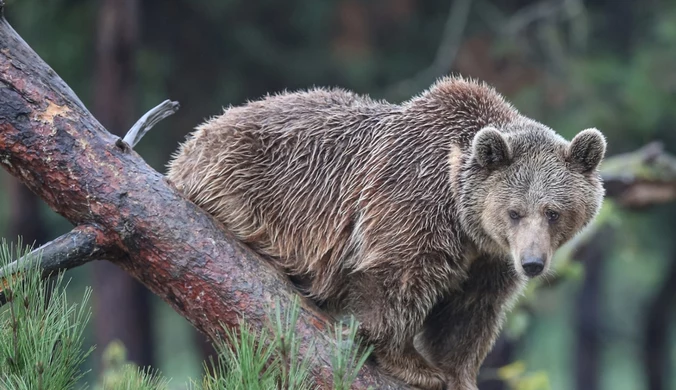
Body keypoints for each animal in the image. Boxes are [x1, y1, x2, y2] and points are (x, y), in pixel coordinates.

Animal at [165, 77, 608, 390]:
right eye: (514, 212)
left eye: (553, 212)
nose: (532, 263)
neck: (464, 218)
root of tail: (193, 140)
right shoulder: (411, 198)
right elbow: (397, 278)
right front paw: (413, 365)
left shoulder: (489, 258)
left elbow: (470, 312)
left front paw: (458, 375)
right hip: (246, 185)